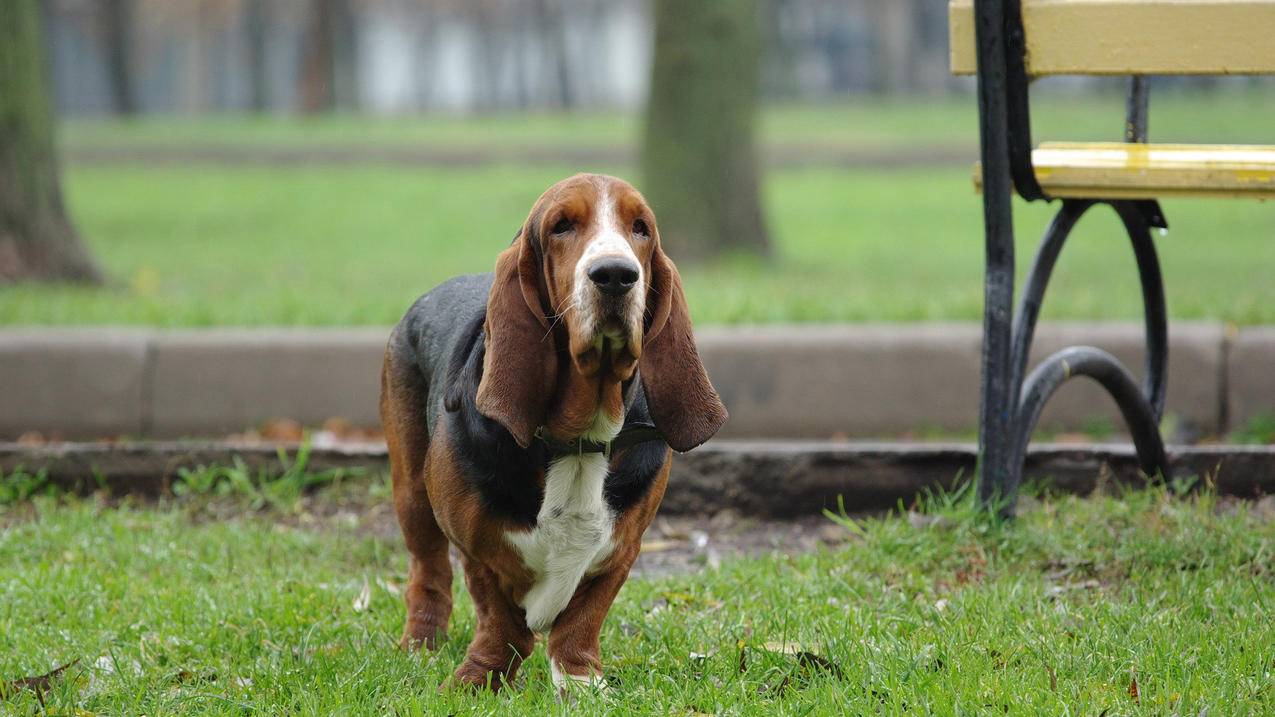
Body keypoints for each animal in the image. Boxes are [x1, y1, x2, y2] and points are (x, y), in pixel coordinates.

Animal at [377, 169, 724, 688]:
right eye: (561, 226)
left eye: (640, 228)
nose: (616, 274)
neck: (578, 439)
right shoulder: (477, 549)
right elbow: (499, 620)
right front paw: (479, 680)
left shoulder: (623, 549)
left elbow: (582, 621)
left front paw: (580, 683)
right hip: (412, 496)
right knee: (428, 574)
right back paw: (420, 646)